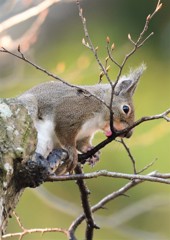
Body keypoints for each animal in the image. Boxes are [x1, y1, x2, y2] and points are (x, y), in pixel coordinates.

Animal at [17, 63, 145, 172]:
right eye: (126, 109)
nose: (129, 134)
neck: (96, 121)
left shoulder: (84, 134)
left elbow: (82, 144)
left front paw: (92, 152)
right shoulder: (71, 112)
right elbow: (65, 134)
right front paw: (72, 152)